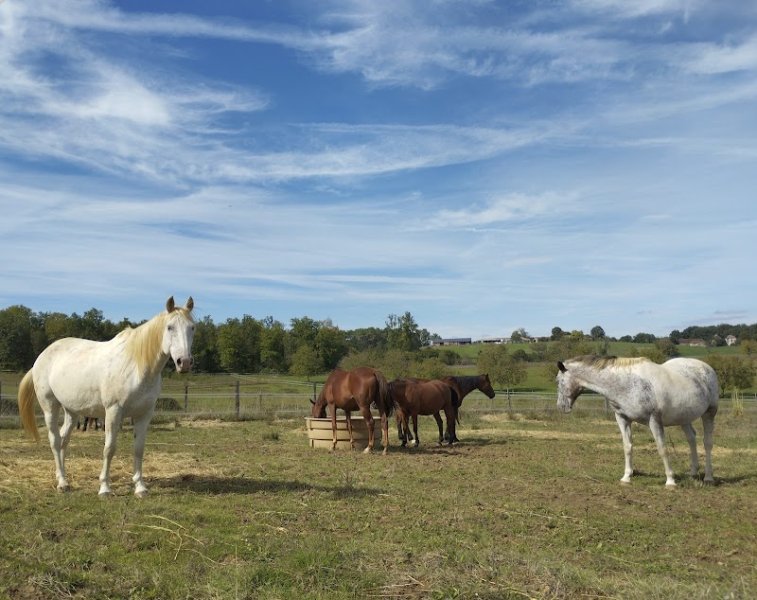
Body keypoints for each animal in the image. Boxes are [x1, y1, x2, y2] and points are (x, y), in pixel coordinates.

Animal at [18, 296, 195, 497]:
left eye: (192, 327)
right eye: (170, 327)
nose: (184, 362)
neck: (136, 366)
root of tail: (41, 357)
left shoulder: (144, 414)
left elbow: (139, 449)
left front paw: (140, 487)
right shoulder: (113, 411)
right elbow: (109, 449)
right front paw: (104, 488)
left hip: (71, 411)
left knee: (64, 440)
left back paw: (64, 478)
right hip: (50, 407)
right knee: (55, 441)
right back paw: (62, 483)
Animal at [556, 355, 719, 488]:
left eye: (558, 381)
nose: (561, 407)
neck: (626, 384)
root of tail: (707, 368)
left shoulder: (654, 421)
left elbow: (662, 448)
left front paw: (670, 481)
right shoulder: (622, 418)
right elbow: (627, 447)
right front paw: (626, 477)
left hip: (709, 413)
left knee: (707, 443)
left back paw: (708, 477)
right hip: (684, 418)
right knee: (691, 439)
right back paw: (693, 473)